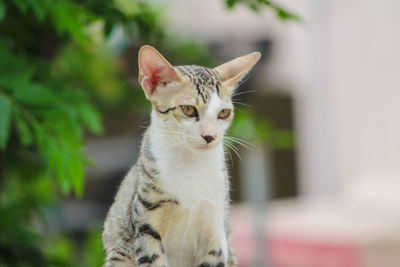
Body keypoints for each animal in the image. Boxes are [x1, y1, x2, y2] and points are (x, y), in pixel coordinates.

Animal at [101, 45, 260, 266]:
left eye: (223, 113)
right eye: (188, 109)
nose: (210, 136)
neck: (190, 164)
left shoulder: (216, 229)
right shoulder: (147, 224)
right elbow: (153, 258)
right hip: (119, 253)